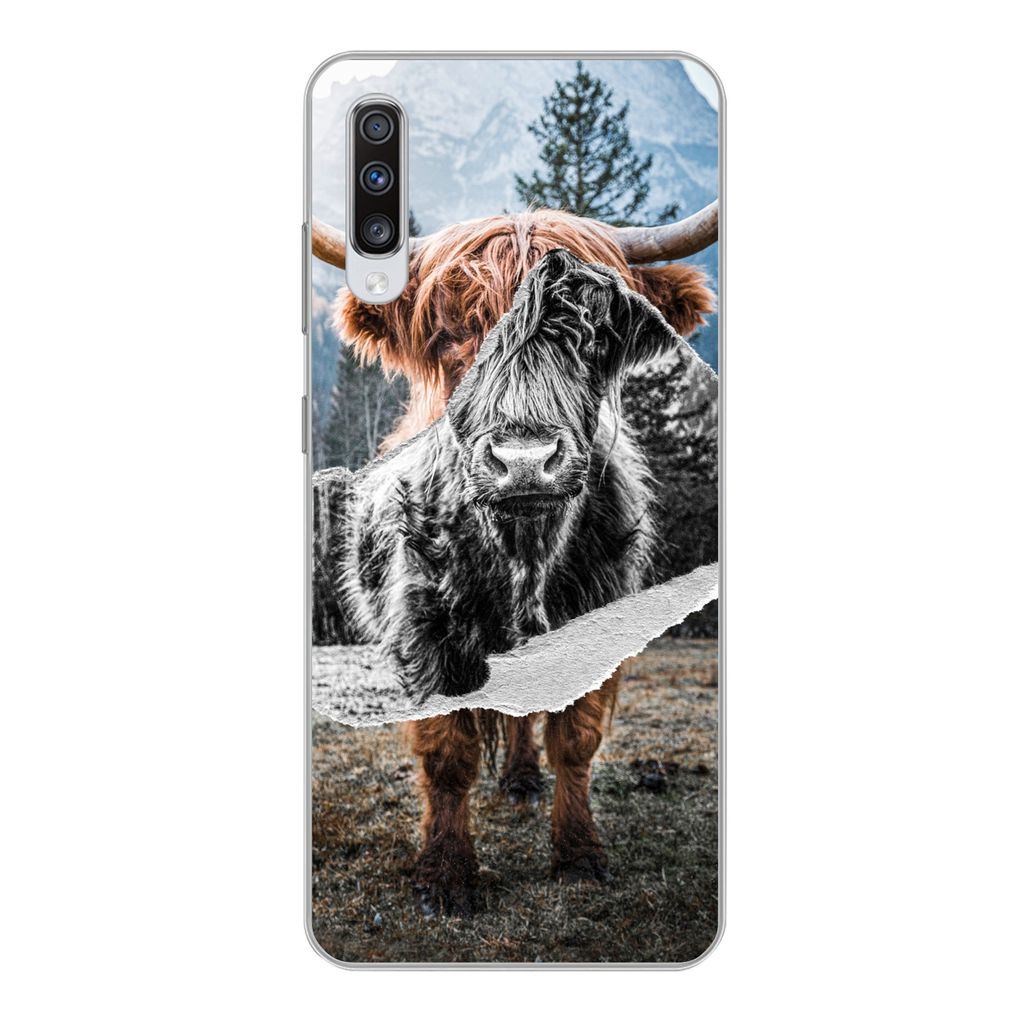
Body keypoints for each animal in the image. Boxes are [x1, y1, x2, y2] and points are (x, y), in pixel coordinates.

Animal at [311, 203, 718, 916]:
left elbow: (576, 738)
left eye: (595, 340)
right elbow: (447, 751)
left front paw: (579, 854)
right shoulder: (423, 631)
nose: (524, 460)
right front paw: (447, 876)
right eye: (451, 335)